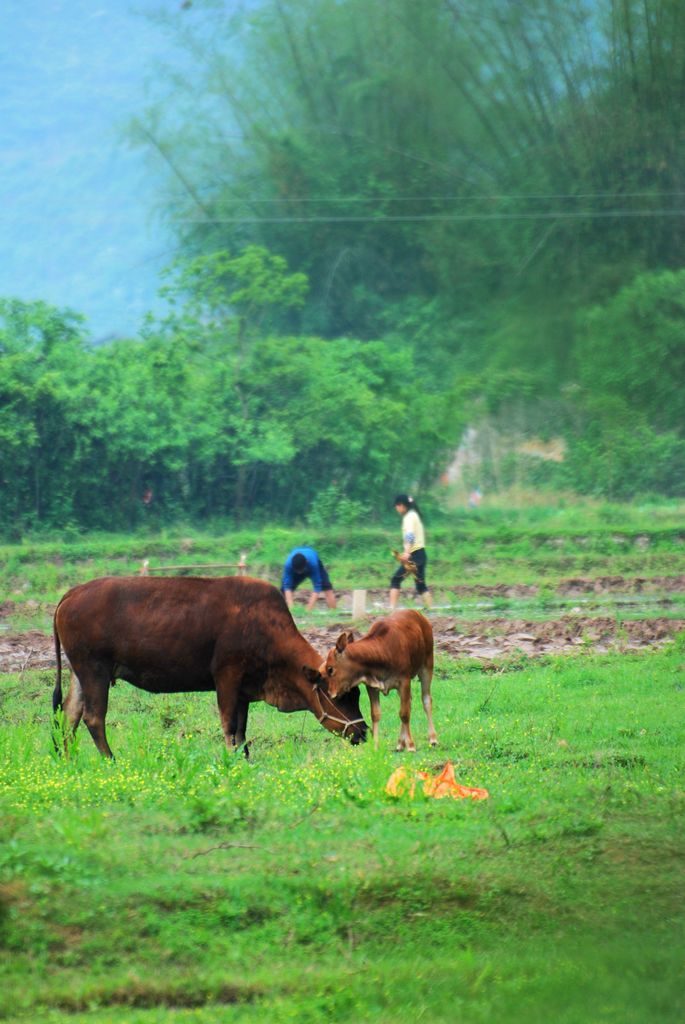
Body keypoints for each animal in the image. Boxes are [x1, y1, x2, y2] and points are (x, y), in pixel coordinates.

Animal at [53, 581, 366, 757]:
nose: (362, 731)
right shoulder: (227, 677)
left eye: (358, 694)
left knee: (69, 715)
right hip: (94, 669)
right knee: (93, 718)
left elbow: (242, 730)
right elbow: (229, 726)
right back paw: (111, 760)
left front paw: (244, 760)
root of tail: (71, 593)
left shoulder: (244, 689)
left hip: (80, 672)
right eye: (341, 697)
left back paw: (70, 760)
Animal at [319, 606, 436, 753]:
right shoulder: (371, 686)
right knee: (409, 702)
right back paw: (400, 743)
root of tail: (419, 615)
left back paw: (432, 739)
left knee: (426, 700)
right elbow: (375, 714)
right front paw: (375, 745)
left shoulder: (404, 681)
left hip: (427, 665)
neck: (383, 651)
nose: (331, 693)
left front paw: (411, 745)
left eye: (330, 669)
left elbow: (404, 713)